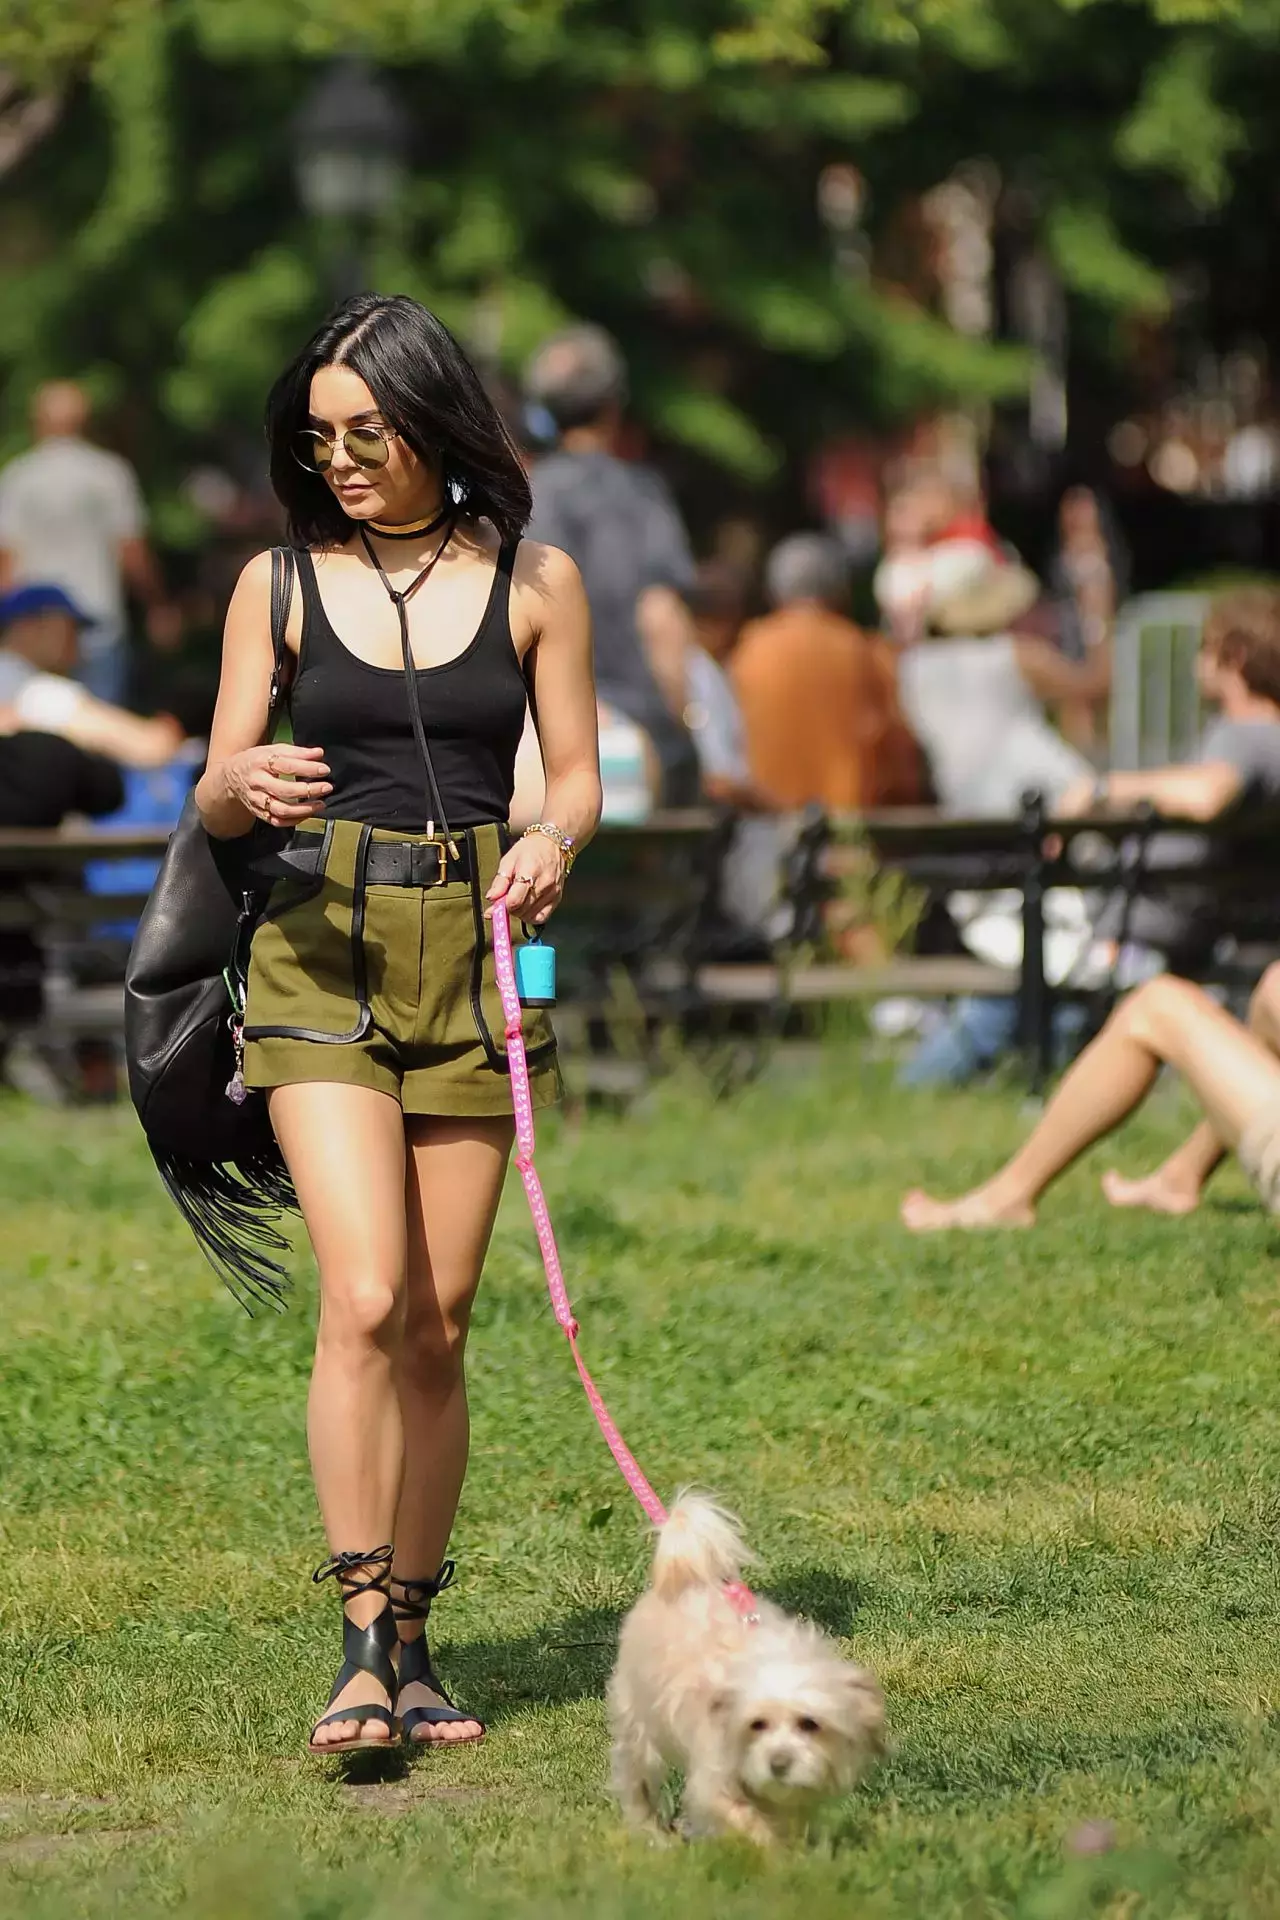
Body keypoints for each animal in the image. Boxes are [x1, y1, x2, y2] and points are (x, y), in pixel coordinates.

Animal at [610, 1497, 886, 1843]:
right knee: (637, 1779)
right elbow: (749, 1822)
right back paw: (651, 1833)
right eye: (757, 1724)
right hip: (638, 1725)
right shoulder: (714, 1773)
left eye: (809, 1724)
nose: (778, 1764)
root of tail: (688, 1576)